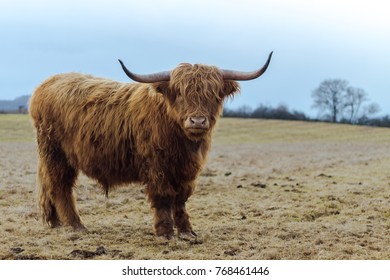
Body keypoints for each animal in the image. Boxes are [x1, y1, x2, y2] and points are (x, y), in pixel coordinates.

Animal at [29, 52, 272, 238]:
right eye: (180, 93)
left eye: (212, 94)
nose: (197, 121)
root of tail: (46, 84)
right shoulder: (157, 167)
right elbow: (164, 198)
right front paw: (165, 232)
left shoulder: (187, 170)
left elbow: (181, 200)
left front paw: (187, 231)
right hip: (56, 155)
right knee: (60, 187)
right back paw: (76, 225)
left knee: (49, 186)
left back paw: (56, 222)